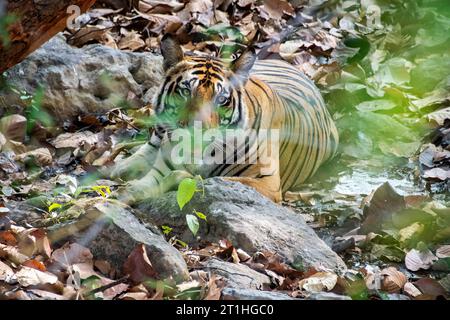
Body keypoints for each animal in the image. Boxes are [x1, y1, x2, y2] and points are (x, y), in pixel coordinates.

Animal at [111, 35, 338, 204]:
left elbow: (212, 179)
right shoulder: (161, 167)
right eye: (185, 91)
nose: (197, 129)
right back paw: (121, 168)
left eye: (221, 99)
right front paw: (125, 192)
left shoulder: (268, 184)